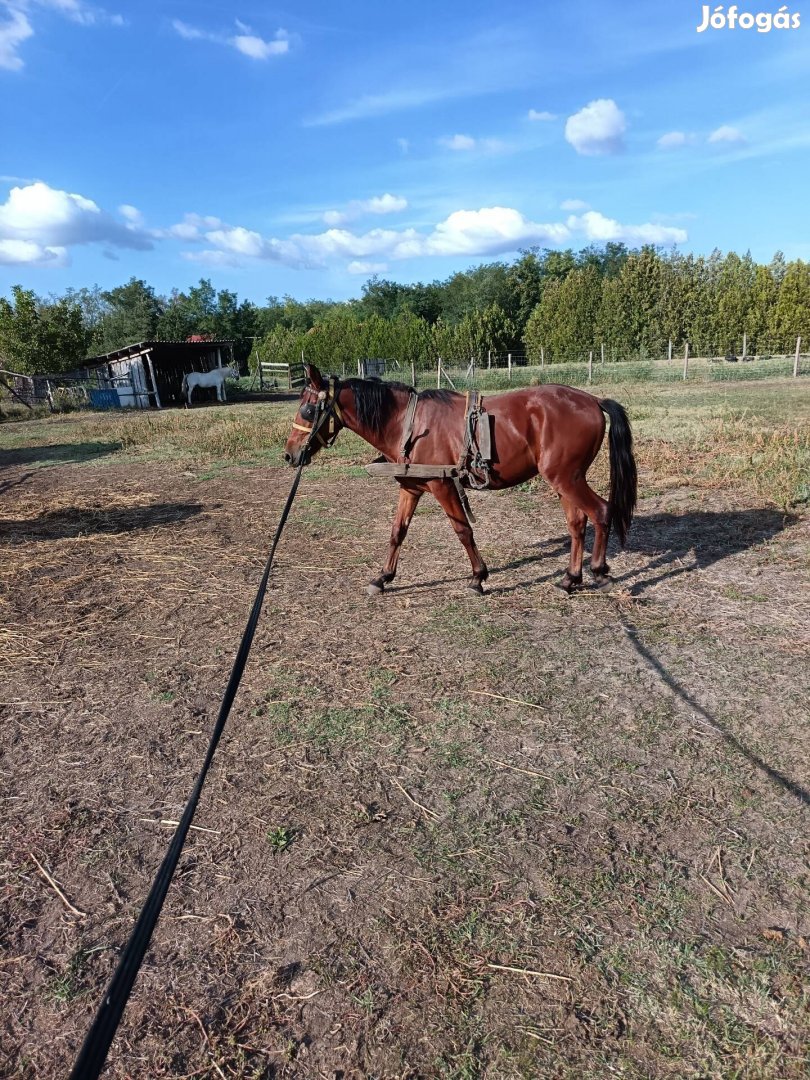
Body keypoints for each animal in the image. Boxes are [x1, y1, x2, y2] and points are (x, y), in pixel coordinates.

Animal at [287, 367, 639, 596]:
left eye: (308, 410)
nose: (290, 455)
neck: (409, 424)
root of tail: (593, 401)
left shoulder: (442, 487)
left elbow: (463, 531)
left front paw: (477, 578)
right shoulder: (411, 487)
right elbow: (397, 532)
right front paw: (383, 577)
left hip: (567, 478)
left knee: (601, 512)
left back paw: (598, 571)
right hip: (564, 481)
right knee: (577, 524)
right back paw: (570, 578)